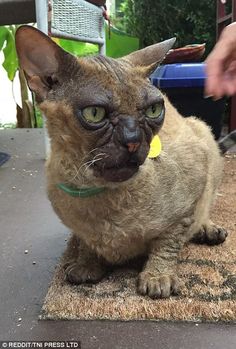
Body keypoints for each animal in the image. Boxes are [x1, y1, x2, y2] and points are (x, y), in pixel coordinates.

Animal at [15, 26, 230, 300]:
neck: (92, 190)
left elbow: (168, 243)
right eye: (94, 113)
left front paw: (157, 278)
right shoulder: (79, 227)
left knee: (205, 210)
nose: (133, 140)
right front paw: (87, 265)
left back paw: (208, 230)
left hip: (203, 134)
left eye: (152, 110)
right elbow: (86, 242)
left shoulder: (186, 204)